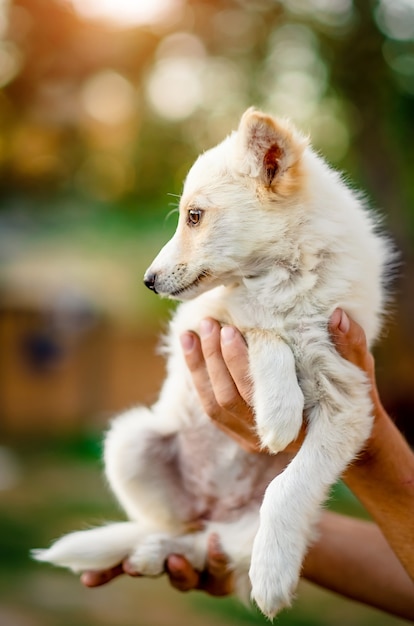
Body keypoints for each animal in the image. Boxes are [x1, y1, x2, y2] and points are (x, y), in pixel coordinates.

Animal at [33, 108, 392, 616]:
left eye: (194, 216)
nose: (148, 281)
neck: (285, 277)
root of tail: (217, 505)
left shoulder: (347, 395)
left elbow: (288, 489)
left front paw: (272, 576)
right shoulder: (202, 324)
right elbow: (261, 330)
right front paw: (279, 413)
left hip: (235, 523)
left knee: (212, 541)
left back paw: (164, 554)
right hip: (130, 441)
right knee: (184, 527)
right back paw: (152, 550)